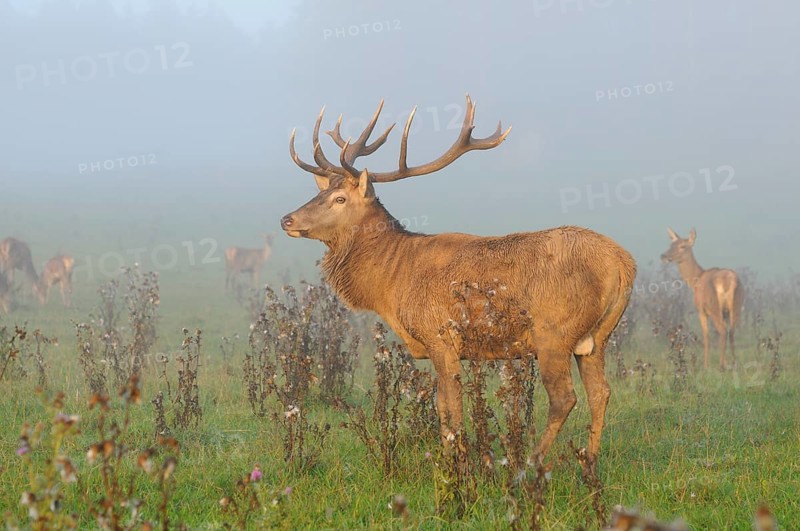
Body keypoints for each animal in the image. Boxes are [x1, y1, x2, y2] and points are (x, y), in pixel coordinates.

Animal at [280, 95, 637, 473]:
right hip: (597, 337)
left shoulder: (441, 336)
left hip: (553, 331)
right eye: (320, 194)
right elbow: (443, 407)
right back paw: (590, 465)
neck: (392, 281)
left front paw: (458, 465)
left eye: (340, 199)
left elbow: (451, 407)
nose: (287, 219)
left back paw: (529, 464)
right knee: (600, 393)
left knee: (564, 398)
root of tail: (624, 264)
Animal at [661, 227, 744, 371]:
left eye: (683, 246)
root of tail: (729, 281)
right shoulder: (725, 313)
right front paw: (726, 362)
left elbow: (706, 336)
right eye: (671, 244)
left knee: (722, 331)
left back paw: (721, 366)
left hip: (714, 307)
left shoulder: (701, 310)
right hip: (736, 306)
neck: (695, 280)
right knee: (731, 331)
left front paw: (706, 365)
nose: (664, 256)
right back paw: (734, 364)